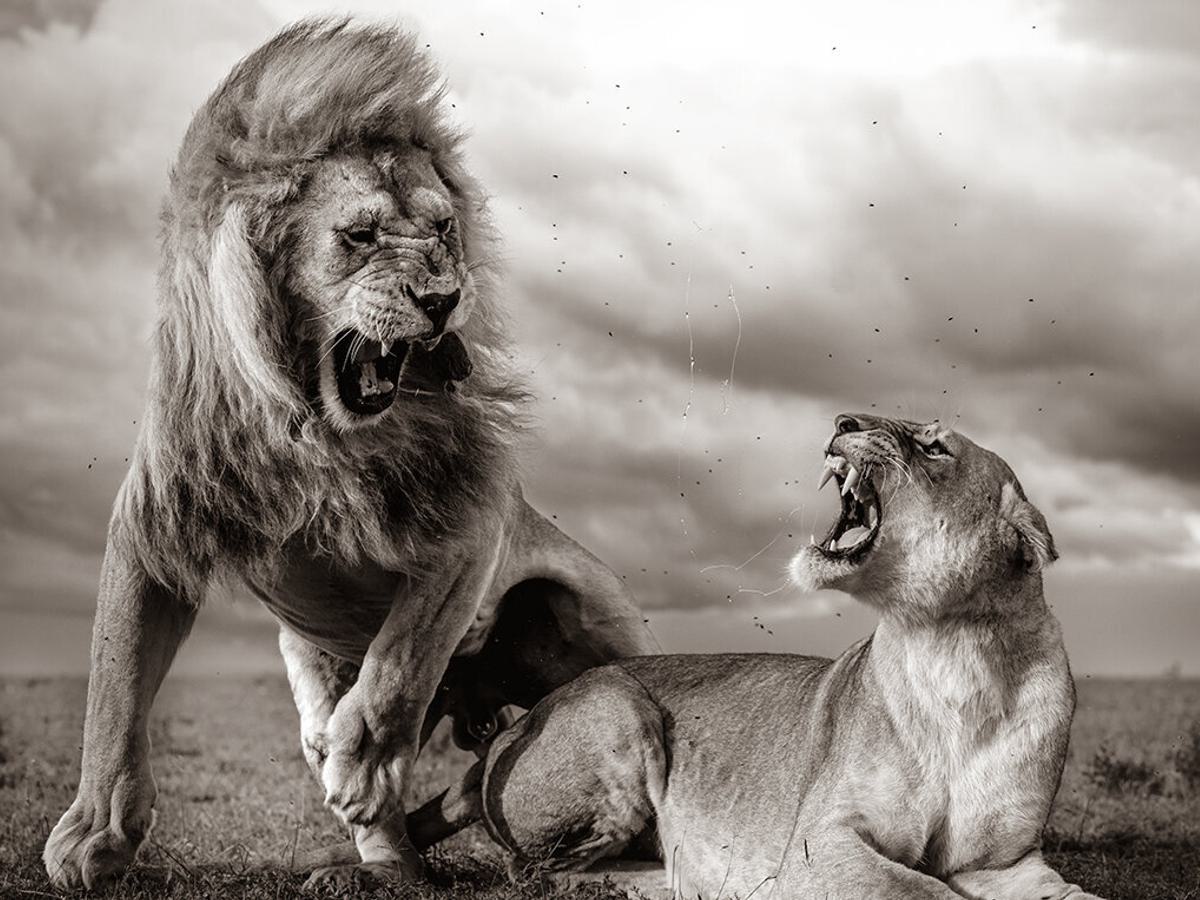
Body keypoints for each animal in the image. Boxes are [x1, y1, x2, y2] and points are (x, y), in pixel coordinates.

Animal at [42, 19, 658, 891]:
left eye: (443, 229)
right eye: (359, 236)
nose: (442, 299)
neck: (316, 429)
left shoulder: (471, 523)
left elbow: (400, 664)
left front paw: (362, 763)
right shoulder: (153, 526)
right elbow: (114, 686)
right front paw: (94, 833)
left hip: (594, 626)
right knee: (384, 781)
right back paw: (372, 865)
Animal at [395, 414, 1106, 900]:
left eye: (935, 447)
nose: (843, 421)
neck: (953, 652)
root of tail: (503, 736)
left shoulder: (1004, 863)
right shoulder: (821, 844)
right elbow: (921, 889)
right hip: (619, 710)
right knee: (536, 871)